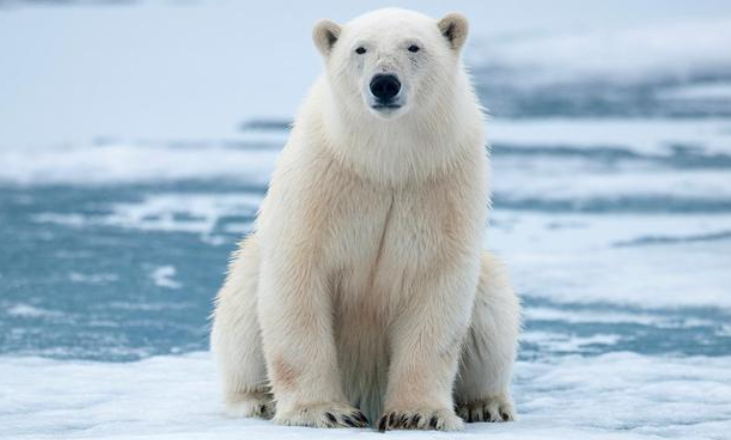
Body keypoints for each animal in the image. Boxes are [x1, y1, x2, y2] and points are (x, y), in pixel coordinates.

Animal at [210, 8, 520, 431]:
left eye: (414, 46)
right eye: (360, 48)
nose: (384, 83)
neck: (384, 162)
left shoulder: (442, 184)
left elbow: (436, 291)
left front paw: (419, 414)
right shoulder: (321, 182)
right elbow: (299, 280)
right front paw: (323, 411)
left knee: (493, 305)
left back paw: (486, 405)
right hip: (247, 281)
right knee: (241, 301)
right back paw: (255, 400)